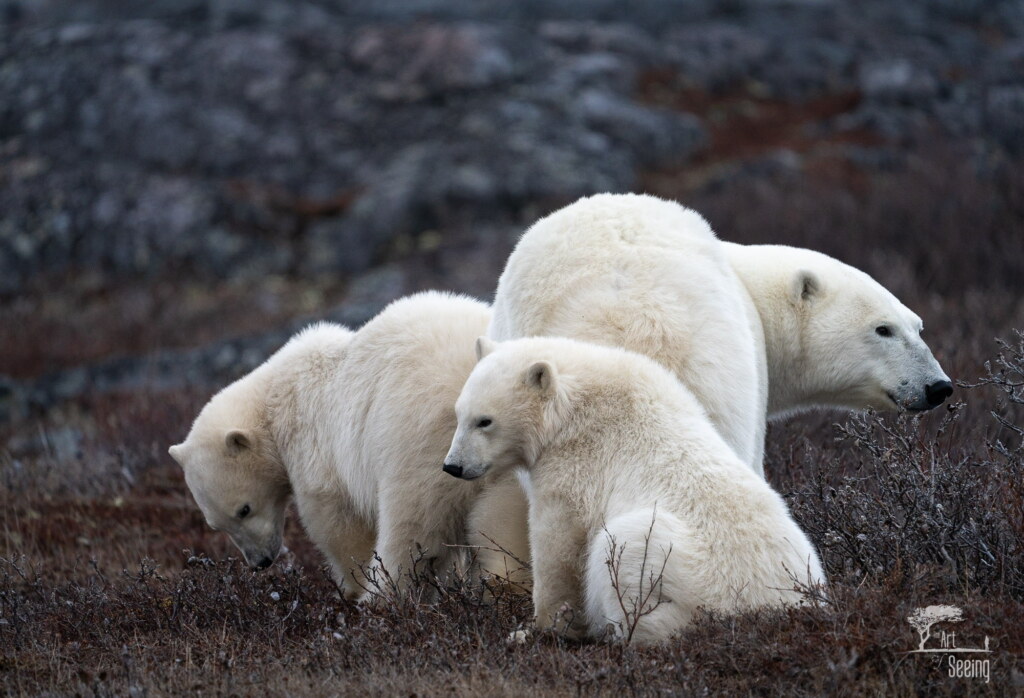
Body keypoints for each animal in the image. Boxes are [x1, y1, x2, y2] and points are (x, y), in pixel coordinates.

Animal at [168, 291, 528, 599]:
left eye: (244, 509)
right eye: (216, 525)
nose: (260, 562)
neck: (273, 400)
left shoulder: (315, 445)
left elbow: (336, 522)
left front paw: (351, 586)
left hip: (425, 443)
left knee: (413, 526)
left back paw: (381, 598)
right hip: (495, 459)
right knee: (503, 527)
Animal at [443, 336, 826, 645]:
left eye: (485, 421)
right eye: (458, 414)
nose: (453, 466)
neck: (574, 405)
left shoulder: (578, 463)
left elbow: (560, 542)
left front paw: (538, 629)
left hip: (686, 573)